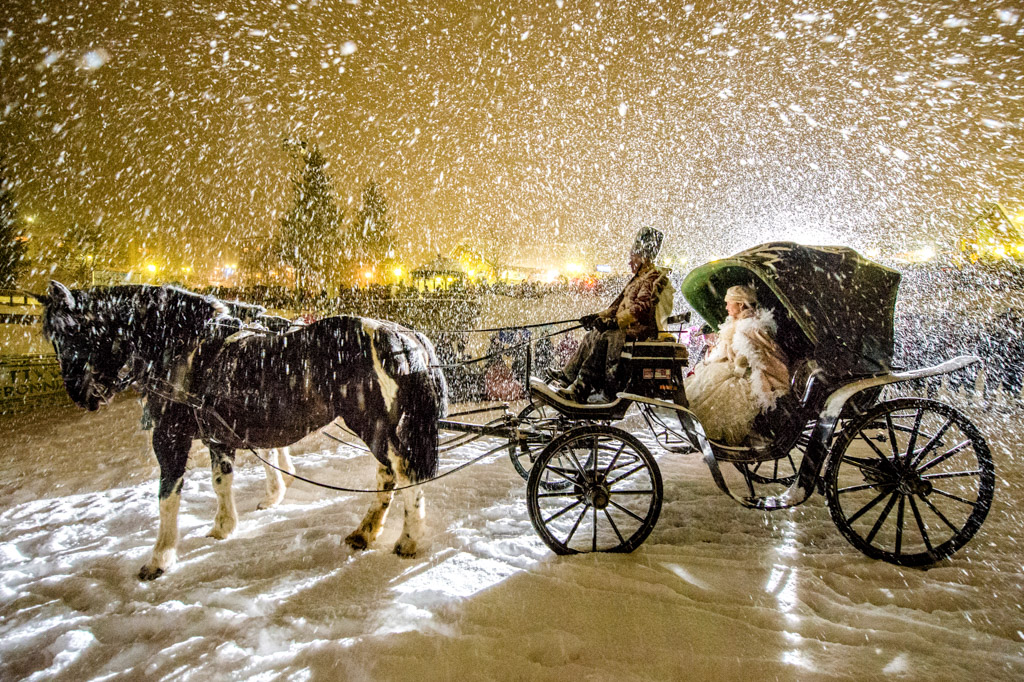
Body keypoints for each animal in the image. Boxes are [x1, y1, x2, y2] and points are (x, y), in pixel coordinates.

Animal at [40, 278, 448, 577]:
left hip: (377, 426)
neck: (183, 348)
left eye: (71, 334)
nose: (80, 395)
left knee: (404, 474)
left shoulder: (170, 438)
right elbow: (221, 481)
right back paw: (364, 533)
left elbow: (167, 498)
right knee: (389, 477)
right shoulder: (218, 435)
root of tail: (405, 337)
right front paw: (224, 527)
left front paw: (159, 559)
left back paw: (408, 540)